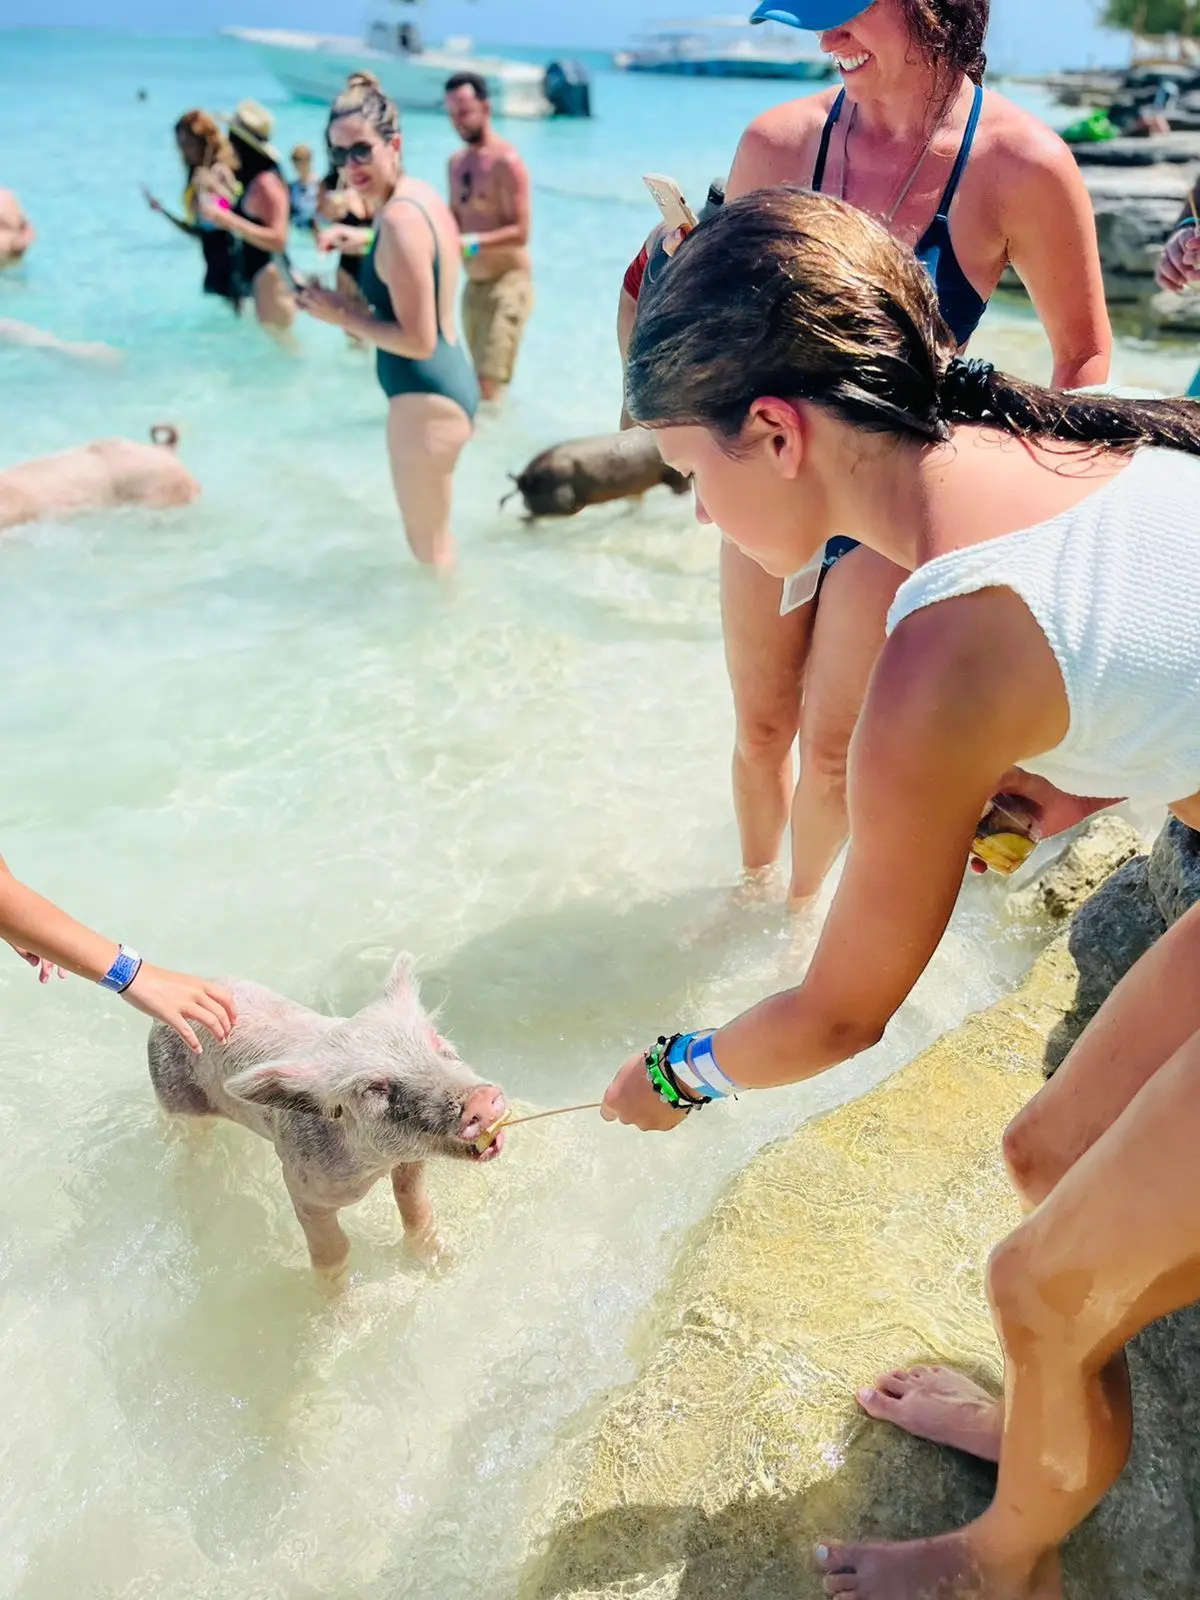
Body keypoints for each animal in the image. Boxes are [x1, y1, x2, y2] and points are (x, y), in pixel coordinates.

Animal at [147, 954, 506, 1276]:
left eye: (434, 1042)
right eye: (374, 1087)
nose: (482, 1099)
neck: (375, 1166)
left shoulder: (410, 1161)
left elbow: (414, 1204)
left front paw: (442, 1263)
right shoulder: (300, 1184)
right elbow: (333, 1249)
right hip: (174, 1097)